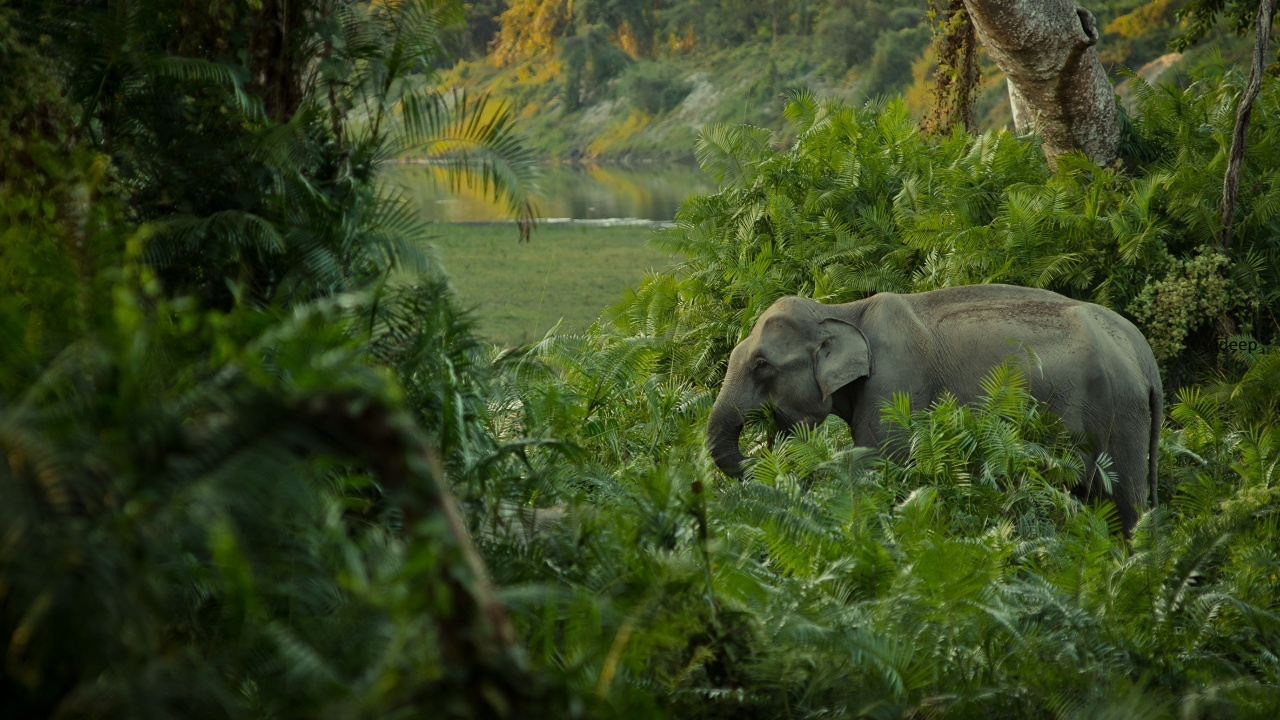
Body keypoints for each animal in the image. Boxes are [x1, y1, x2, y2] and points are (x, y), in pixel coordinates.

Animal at [706, 284, 1163, 534]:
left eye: (762, 365)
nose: (765, 439)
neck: (841, 310)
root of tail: (1145, 356)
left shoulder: (896, 384)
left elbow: (879, 467)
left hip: (1119, 416)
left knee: (1123, 507)